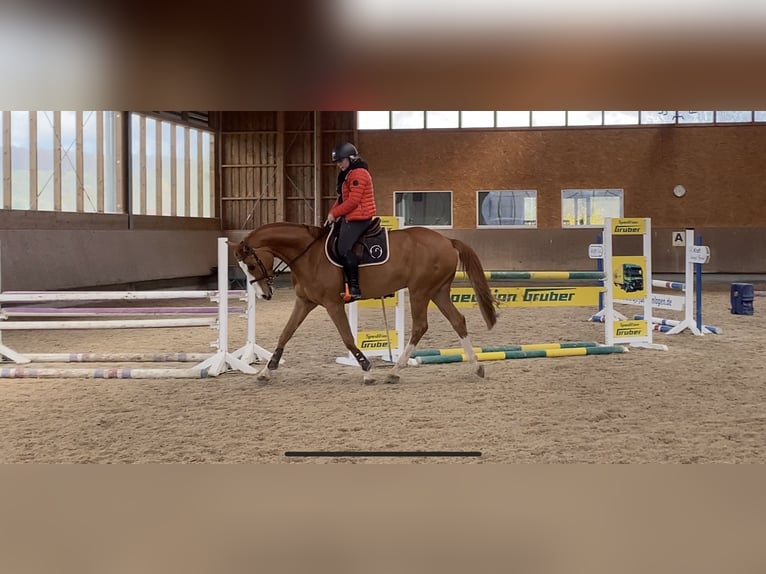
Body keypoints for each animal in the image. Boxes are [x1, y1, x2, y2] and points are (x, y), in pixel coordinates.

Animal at [236, 223, 498, 384]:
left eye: (251, 265)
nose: (264, 296)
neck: (309, 255)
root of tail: (446, 239)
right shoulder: (305, 302)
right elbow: (285, 334)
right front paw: (266, 371)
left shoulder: (332, 304)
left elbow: (347, 337)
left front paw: (367, 371)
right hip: (438, 291)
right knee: (457, 321)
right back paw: (476, 367)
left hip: (420, 291)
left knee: (420, 326)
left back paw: (394, 371)